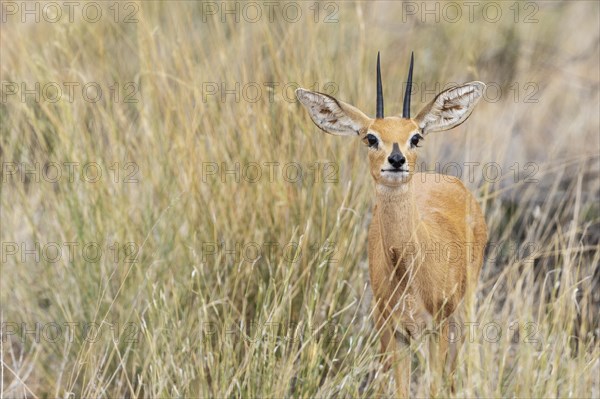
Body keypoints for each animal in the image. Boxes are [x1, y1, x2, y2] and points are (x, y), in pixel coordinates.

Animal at [296, 52, 488, 396]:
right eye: (371, 137)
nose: (396, 160)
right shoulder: (393, 332)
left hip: (460, 315)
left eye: (416, 136)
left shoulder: (436, 328)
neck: (409, 267)